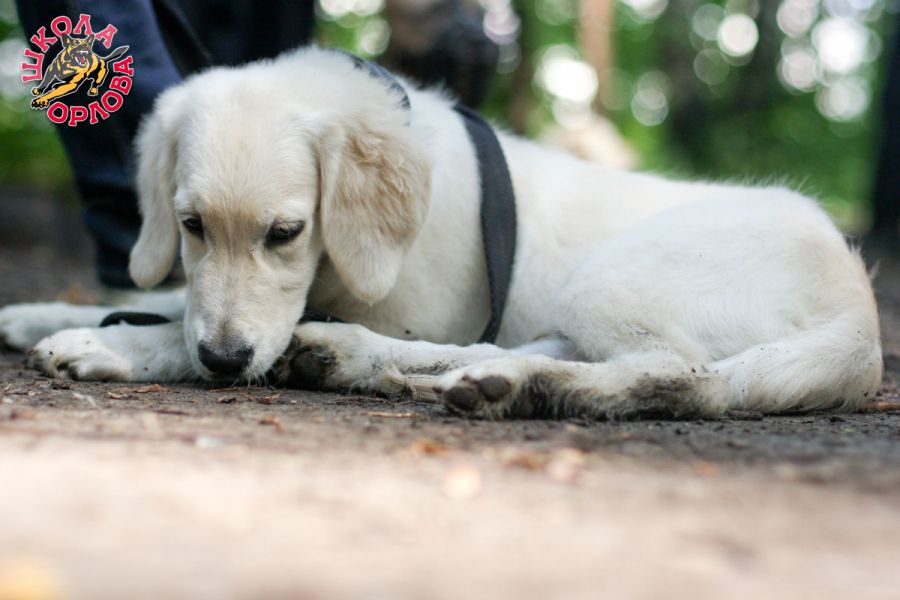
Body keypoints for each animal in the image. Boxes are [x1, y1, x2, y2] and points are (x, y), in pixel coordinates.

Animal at [0, 47, 883, 419]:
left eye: (286, 232)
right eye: (189, 225)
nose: (224, 360)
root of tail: (861, 310)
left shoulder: (390, 307)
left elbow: (184, 330)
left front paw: (110, 343)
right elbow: (175, 303)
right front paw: (37, 314)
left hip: (610, 280)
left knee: (680, 376)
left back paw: (526, 390)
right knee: (491, 353)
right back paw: (382, 365)